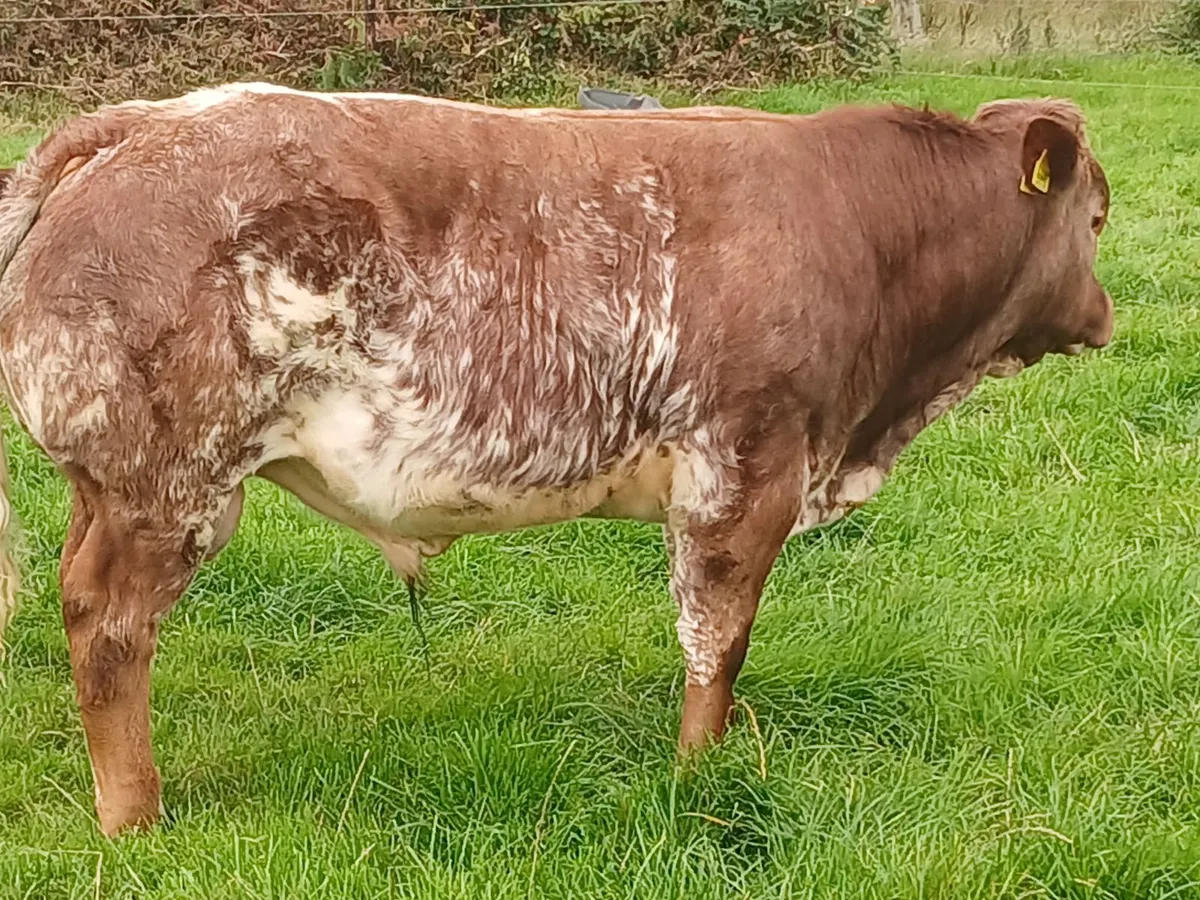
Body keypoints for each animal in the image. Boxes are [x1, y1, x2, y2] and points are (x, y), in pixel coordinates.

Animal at [0, 83, 1113, 836]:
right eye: (1097, 217)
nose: (1105, 316)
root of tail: (140, 121)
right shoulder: (745, 465)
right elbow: (718, 641)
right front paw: (697, 775)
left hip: (110, 485)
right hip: (169, 482)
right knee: (107, 624)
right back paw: (133, 817)